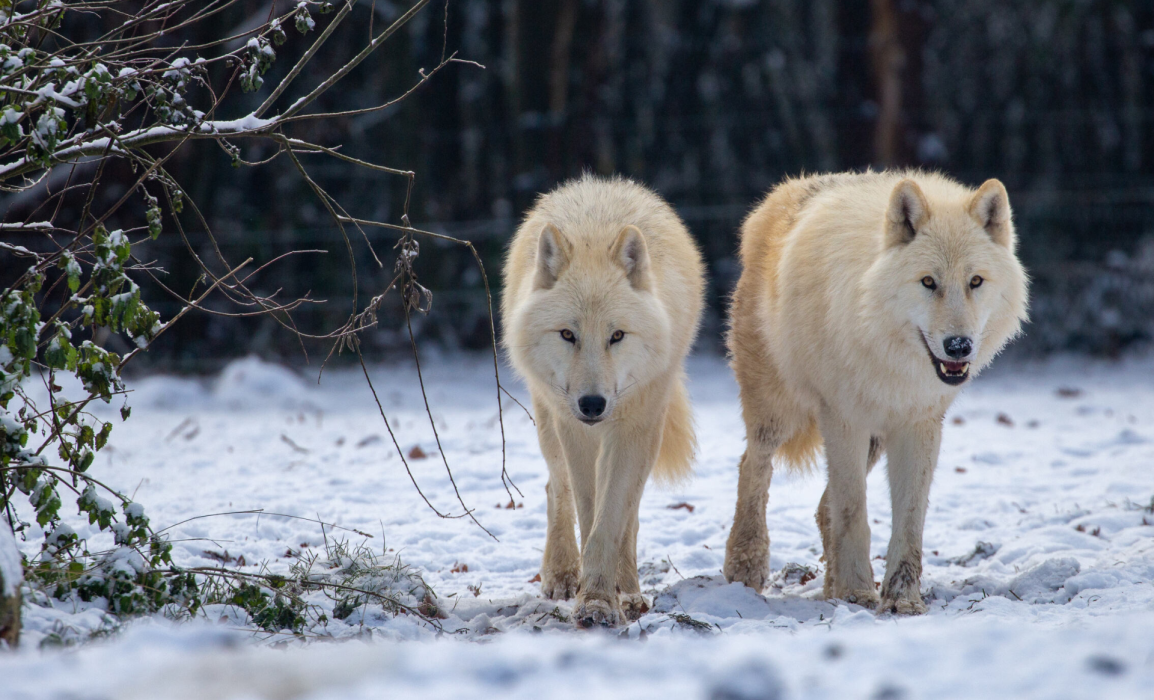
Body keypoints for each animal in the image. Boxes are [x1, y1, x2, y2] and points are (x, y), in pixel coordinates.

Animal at [503, 172, 706, 627]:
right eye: (567, 334)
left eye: (617, 335)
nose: (592, 405)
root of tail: (598, 182)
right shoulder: (574, 431)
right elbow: (588, 510)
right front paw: (590, 597)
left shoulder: (635, 425)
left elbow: (613, 519)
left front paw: (605, 597)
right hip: (549, 419)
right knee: (555, 486)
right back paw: (562, 575)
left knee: (631, 513)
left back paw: (628, 590)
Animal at [720, 172, 1029, 618]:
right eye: (928, 282)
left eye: (975, 282)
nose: (958, 346)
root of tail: (778, 195)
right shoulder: (843, 418)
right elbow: (853, 513)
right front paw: (856, 593)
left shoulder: (919, 424)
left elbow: (909, 520)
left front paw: (901, 598)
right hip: (778, 412)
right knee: (753, 467)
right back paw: (747, 563)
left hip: (875, 438)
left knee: (822, 508)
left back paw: (828, 583)